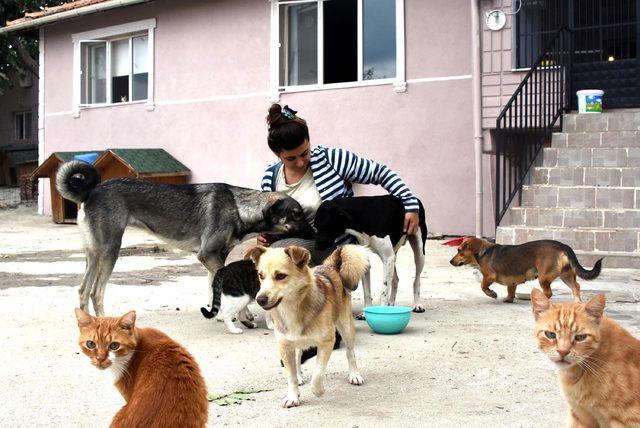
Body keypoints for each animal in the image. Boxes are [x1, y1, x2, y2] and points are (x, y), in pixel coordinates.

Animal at [57, 160, 312, 314]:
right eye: (296, 213)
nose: (315, 232)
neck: (239, 207)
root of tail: (91, 191)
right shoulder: (207, 255)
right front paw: (243, 315)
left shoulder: (216, 258)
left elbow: (214, 287)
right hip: (110, 252)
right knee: (96, 292)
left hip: (93, 255)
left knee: (83, 290)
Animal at [245, 244, 370, 408]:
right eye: (260, 275)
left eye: (280, 276)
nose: (259, 299)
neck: (292, 309)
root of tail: (329, 266)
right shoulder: (285, 346)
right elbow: (290, 376)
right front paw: (293, 395)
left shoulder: (327, 342)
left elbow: (318, 372)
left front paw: (318, 390)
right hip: (296, 342)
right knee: (298, 357)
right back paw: (299, 375)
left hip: (346, 327)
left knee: (350, 353)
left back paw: (354, 375)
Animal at [448, 237, 604, 304]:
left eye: (459, 250)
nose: (450, 261)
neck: (483, 251)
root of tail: (563, 246)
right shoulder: (512, 281)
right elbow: (511, 291)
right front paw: (509, 299)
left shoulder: (489, 276)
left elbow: (483, 286)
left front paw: (492, 294)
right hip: (566, 275)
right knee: (576, 287)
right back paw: (577, 302)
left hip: (543, 277)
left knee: (548, 293)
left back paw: (532, 298)